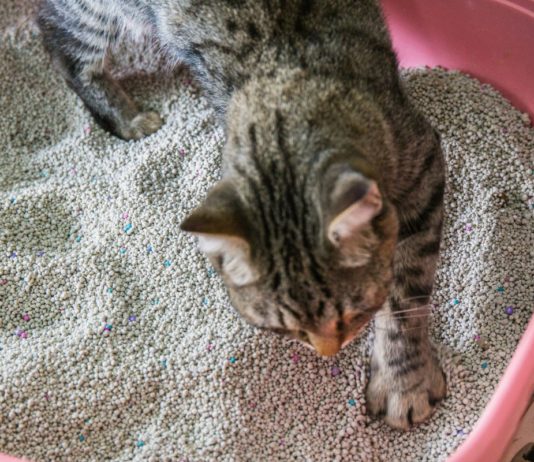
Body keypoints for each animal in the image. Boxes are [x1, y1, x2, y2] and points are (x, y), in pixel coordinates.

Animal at [36, 0, 448, 430]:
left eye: (354, 313)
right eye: (286, 330)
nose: (329, 352)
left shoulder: (422, 169)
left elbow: (405, 299)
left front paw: (404, 382)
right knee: (61, 44)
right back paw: (127, 117)